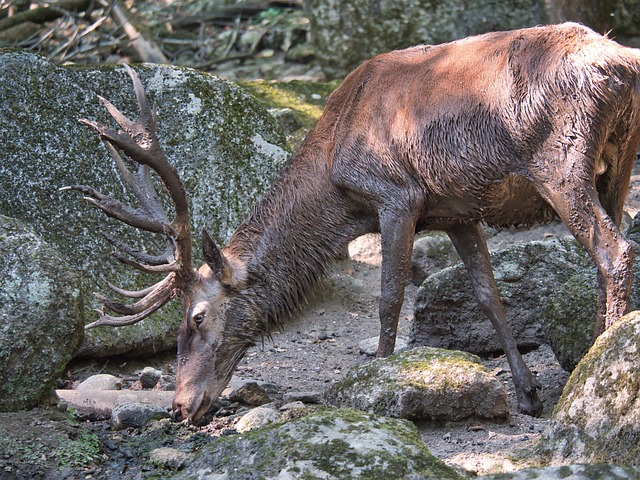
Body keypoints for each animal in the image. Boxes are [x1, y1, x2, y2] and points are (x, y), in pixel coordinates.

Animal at [63, 22, 640, 422]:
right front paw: (526, 394)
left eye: (198, 318)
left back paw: (590, 369)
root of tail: (622, 63)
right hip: (617, 161)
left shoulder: (398, 194)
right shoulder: (457, 210)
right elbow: (488, 296)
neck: (338, 191)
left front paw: (374, 384)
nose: (179, 407)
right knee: (606, 250)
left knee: (615, 251)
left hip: (559, 159)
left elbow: (389, 299)